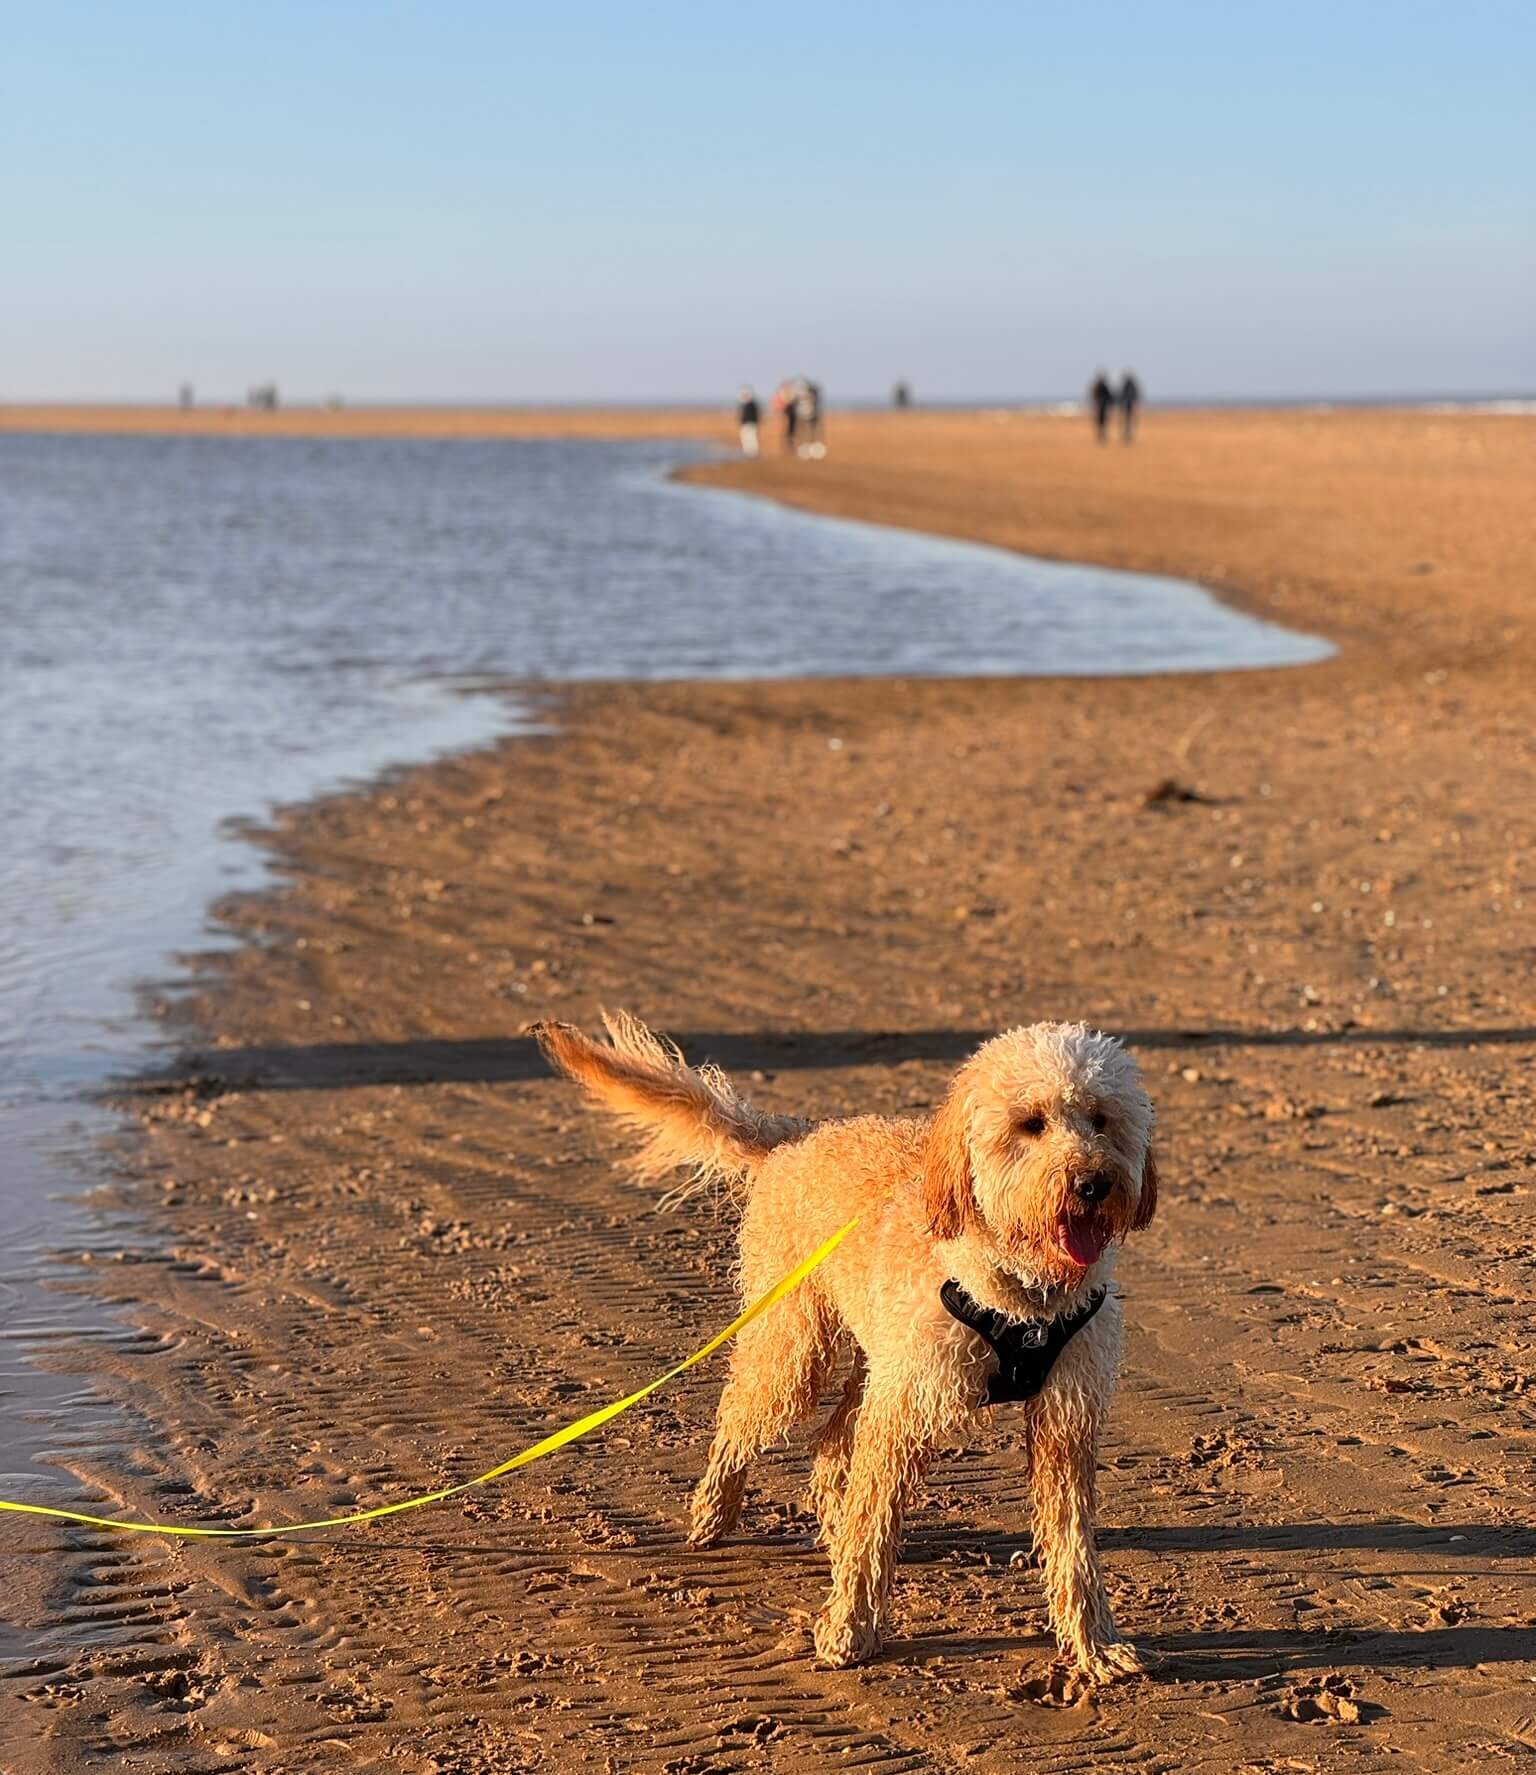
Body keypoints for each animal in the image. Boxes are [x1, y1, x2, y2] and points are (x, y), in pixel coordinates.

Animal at [532, 1015, 1157, 1675]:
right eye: (1030, 1123)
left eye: (1101, 1119)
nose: (1093, 1182)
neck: (1023, 1296)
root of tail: (794, 1140)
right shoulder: (902, 1410)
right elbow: (872, 1525)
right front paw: (849, 1628)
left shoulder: (1064, 1418)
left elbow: (1072, 1545)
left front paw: (1094, 1644)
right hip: (797, 1352)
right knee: (741, 1418)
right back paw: (714, 1512)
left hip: (874, 1360)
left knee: (833, 1441)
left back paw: (822, 1515)